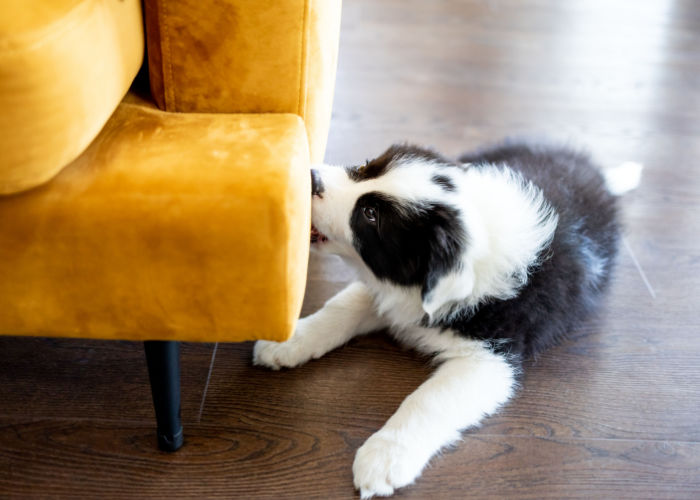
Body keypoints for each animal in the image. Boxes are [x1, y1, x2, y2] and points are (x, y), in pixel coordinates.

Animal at [254, 140, 644, 496]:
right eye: (366, 167)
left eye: (370, 214)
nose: (310, 176)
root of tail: (593, 172)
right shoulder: (392, 295)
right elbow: (341, 308)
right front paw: (286, 342)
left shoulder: (488, 357)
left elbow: (428, 400)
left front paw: (384, 458)